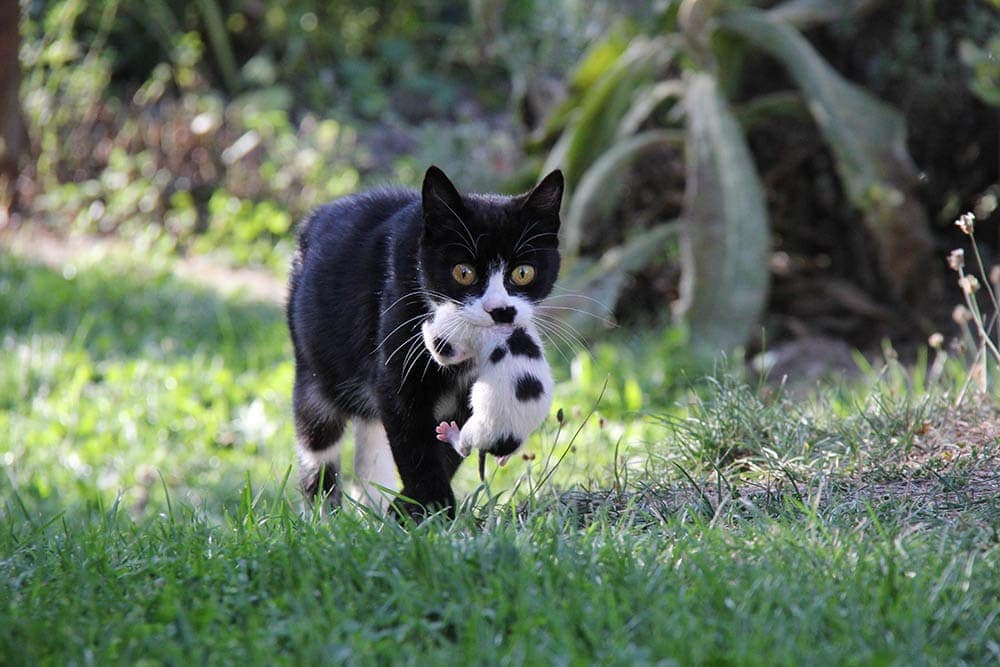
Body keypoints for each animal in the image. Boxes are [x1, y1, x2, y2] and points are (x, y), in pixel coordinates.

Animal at [286, 164, 564, 520]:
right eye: (463, 272)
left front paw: (409, 510)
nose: (499, 310)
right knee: (318, 442)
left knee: (371, 437)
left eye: (523, 273)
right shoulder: (398, 364)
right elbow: (413, 440)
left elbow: (447, 448)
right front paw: (430, 509)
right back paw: (323, 516)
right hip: (313, 367)